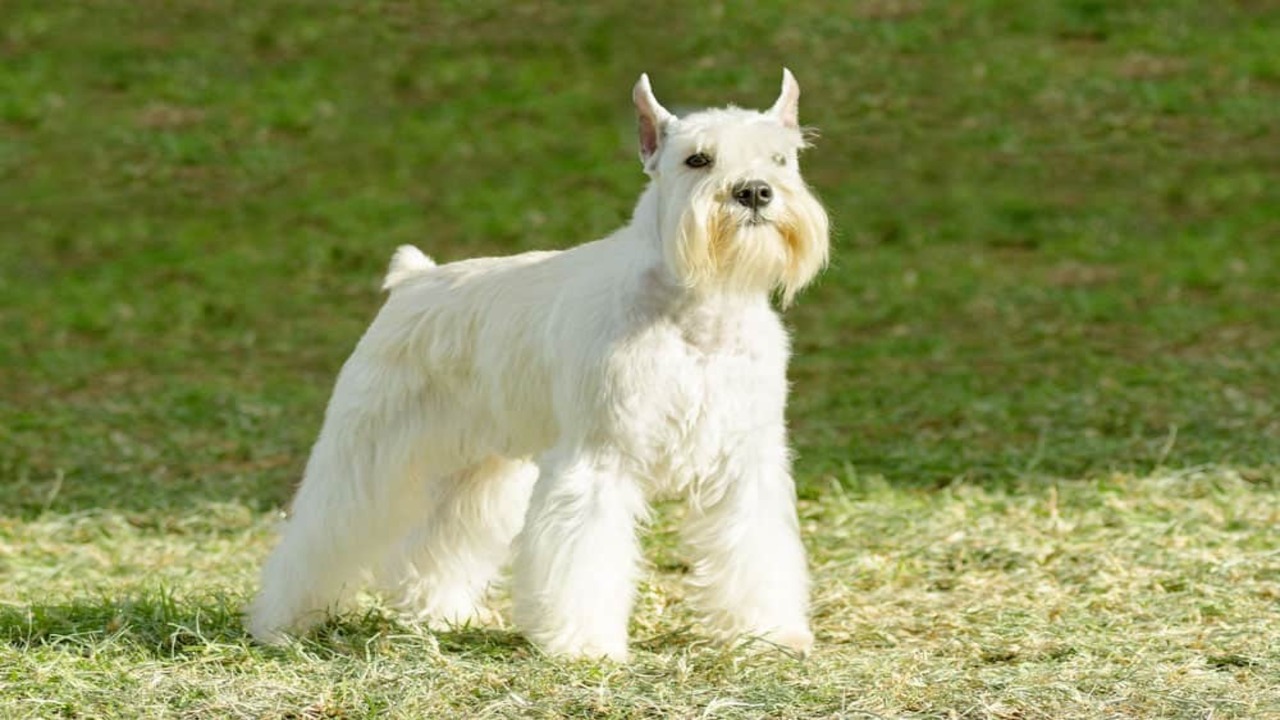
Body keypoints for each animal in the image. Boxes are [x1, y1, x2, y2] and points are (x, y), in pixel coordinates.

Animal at [248, 70, 829, 661]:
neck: (698, 304)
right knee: (322, 532)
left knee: (437, 541)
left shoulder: (745, 460)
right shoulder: (600, 458)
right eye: (698, 159)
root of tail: (414, 278)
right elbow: (585, 556)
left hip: (478, 469)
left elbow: (756, 549)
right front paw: (586, 645)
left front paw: (768, 631)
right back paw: (282, 621)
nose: (754, 191)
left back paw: (438, 612)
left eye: (781, 158)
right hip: (367, 453)